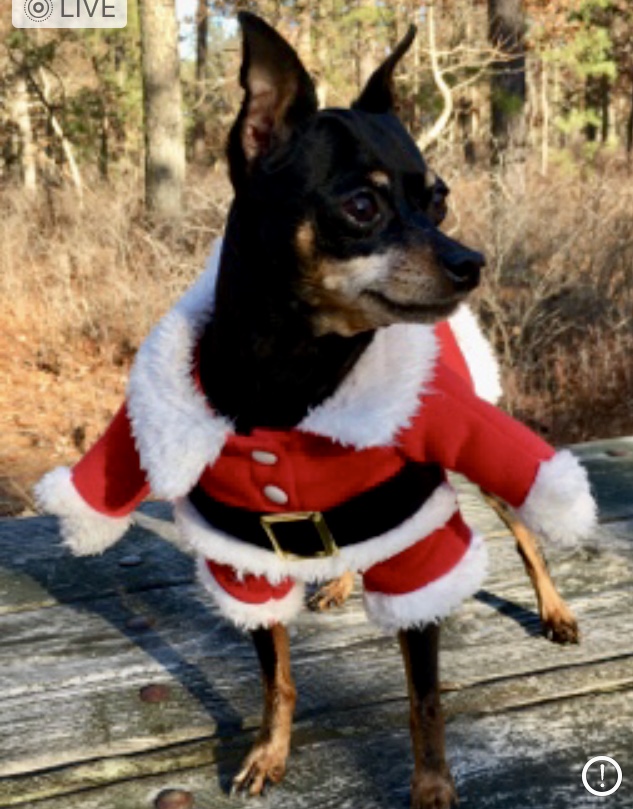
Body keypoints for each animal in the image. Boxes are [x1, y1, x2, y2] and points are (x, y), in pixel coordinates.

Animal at [36, 13, 597, 809]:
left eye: (439, 200)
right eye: (361, 206)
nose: (470, 261)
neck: (293, 379)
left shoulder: (419, 549)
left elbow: (424, 698)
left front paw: (432, 787)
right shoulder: (244, 557)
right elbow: (277, 677)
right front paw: (268, 753)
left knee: (525, 530)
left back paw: (554, 610)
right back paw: (336, 578)